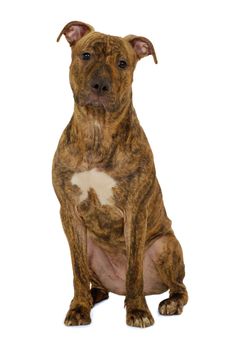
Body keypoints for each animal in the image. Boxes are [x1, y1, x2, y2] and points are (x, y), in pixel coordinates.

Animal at [52, 21, 187, 328]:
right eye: (86, 55)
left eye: (123, 63)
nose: (100, 85)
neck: (97, 129)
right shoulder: (69, 211)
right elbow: (77, 271)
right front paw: (79, 308)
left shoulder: (135, 212)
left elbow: (134, 269)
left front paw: (137, 311)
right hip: (89, 246)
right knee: (96, 283)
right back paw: (92, 298)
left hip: (165, 245)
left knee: (179, 286)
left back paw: (170, 303)